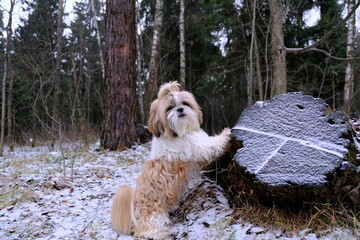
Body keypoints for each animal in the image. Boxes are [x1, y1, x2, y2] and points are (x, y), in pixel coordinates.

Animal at [110, 81, 231, 239]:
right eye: (169, 108)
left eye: (185, 103)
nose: (180, 109)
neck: (176, 133)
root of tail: (134, 217)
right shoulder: (197, 146)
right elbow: (211, 144)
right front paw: (225, 134)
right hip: (156, 217)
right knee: (145, 231)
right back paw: (160, 233)